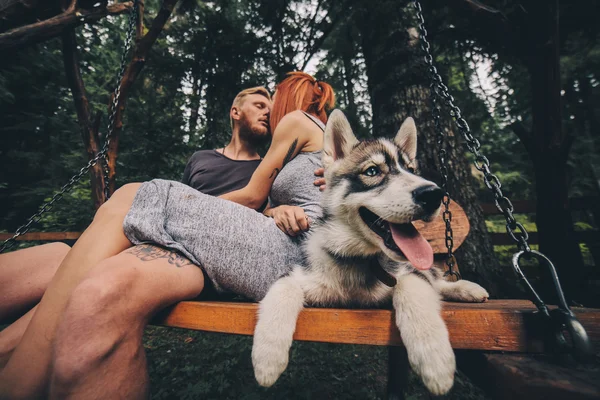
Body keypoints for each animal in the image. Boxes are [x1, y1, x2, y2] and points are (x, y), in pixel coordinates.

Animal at [251, 110, 490, 396]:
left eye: (411, 170)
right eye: (373, 171)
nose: (434, 194)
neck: (359, 260)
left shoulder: (405, 272)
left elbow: (412, 286)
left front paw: (434, 357)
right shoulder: (302, 276)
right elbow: (282, 288)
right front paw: (267, 358)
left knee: (436, 279)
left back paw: (466, 289)